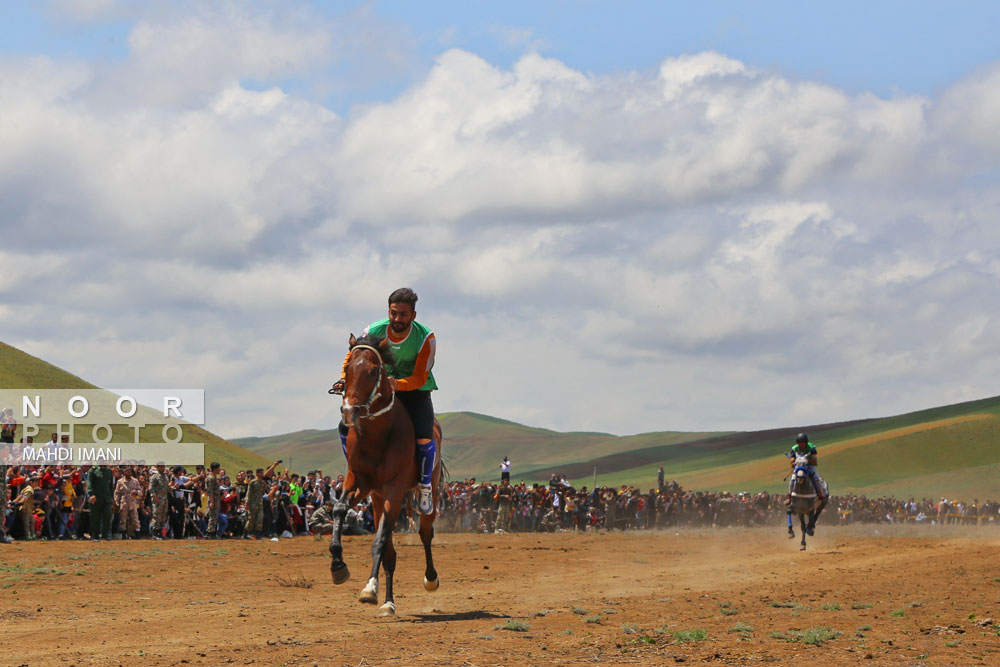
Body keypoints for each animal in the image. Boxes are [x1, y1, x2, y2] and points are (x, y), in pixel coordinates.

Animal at [328, 332, 442, 620]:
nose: (349, 411)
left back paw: (430, 578)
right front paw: (338, 565)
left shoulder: (394, 488)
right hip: (376, 499)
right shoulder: (357, 480)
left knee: (425, 533)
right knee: (391, 554)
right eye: (348, 367)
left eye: (373, 370)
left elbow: (379, 541)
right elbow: (339, 509)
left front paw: (369, 588)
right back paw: (388, 602)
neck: (377, 435)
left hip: (426, 491)